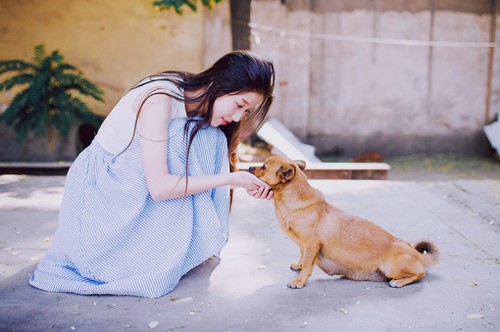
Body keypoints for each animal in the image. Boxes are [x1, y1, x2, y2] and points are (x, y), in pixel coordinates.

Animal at [249, 156, 438, 288]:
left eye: (264, 167)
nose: (249, 167)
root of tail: (416, 253)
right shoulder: (304, 245)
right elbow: (302, 255)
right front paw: (299, 264)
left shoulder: (311, 243)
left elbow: (308, 265)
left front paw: (300, 280)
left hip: (392, 267)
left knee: (421, 274)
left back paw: (399, 282)